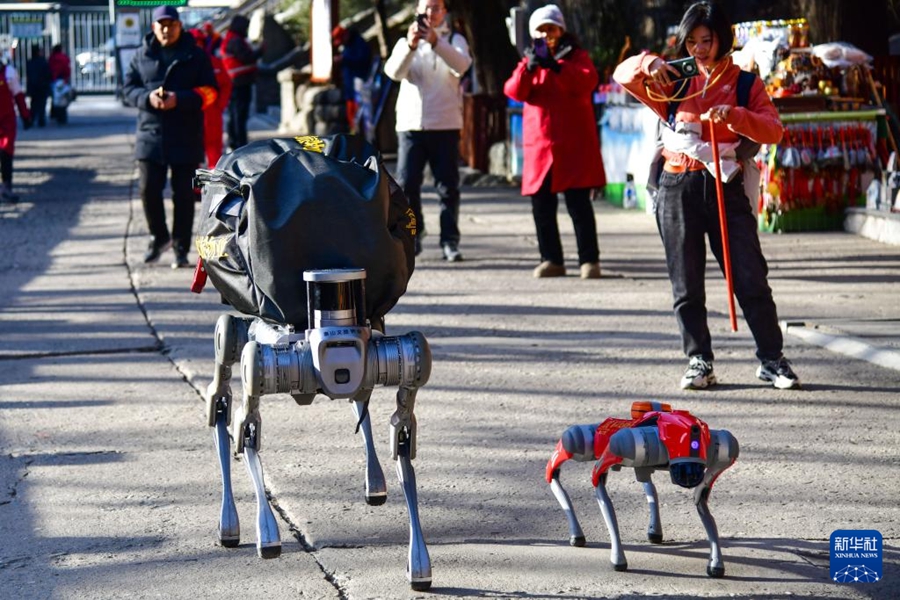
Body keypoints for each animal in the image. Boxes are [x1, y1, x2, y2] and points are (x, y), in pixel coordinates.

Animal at [207, 268, 432, 592]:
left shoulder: (397, 359)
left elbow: (402, 434)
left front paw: (418, 563)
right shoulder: (259, 360)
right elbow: (244, 426)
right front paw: (265, 531)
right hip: (250, 349)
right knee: (227, 359)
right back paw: (232, 523)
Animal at [548, 404, 740, 576]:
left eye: (694, 470)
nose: (689, 478)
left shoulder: (724, 451)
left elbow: (702, 501)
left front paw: (716, 563)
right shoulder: (623, 446)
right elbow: (599, 483)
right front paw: (618, 559)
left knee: (649, 485)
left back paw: (655, 530)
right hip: (586, 443)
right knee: (563, 452)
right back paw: (576, 534)